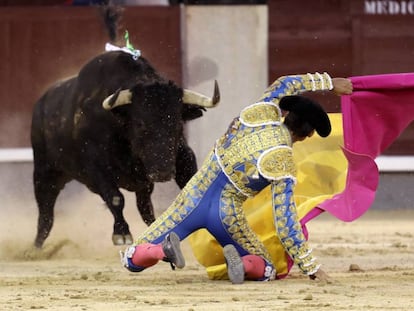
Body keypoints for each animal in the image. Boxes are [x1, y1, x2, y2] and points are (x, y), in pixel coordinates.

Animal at [31, 48, 220, 249]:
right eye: (139, 123)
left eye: (178, 123)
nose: (162, 173)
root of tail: (40, 105)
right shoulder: (96, 168)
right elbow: (115, 198)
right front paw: (122, 234)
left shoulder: (183, 156)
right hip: (44, 173)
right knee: (45, 216)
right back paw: (36, 248)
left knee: (145, 207)